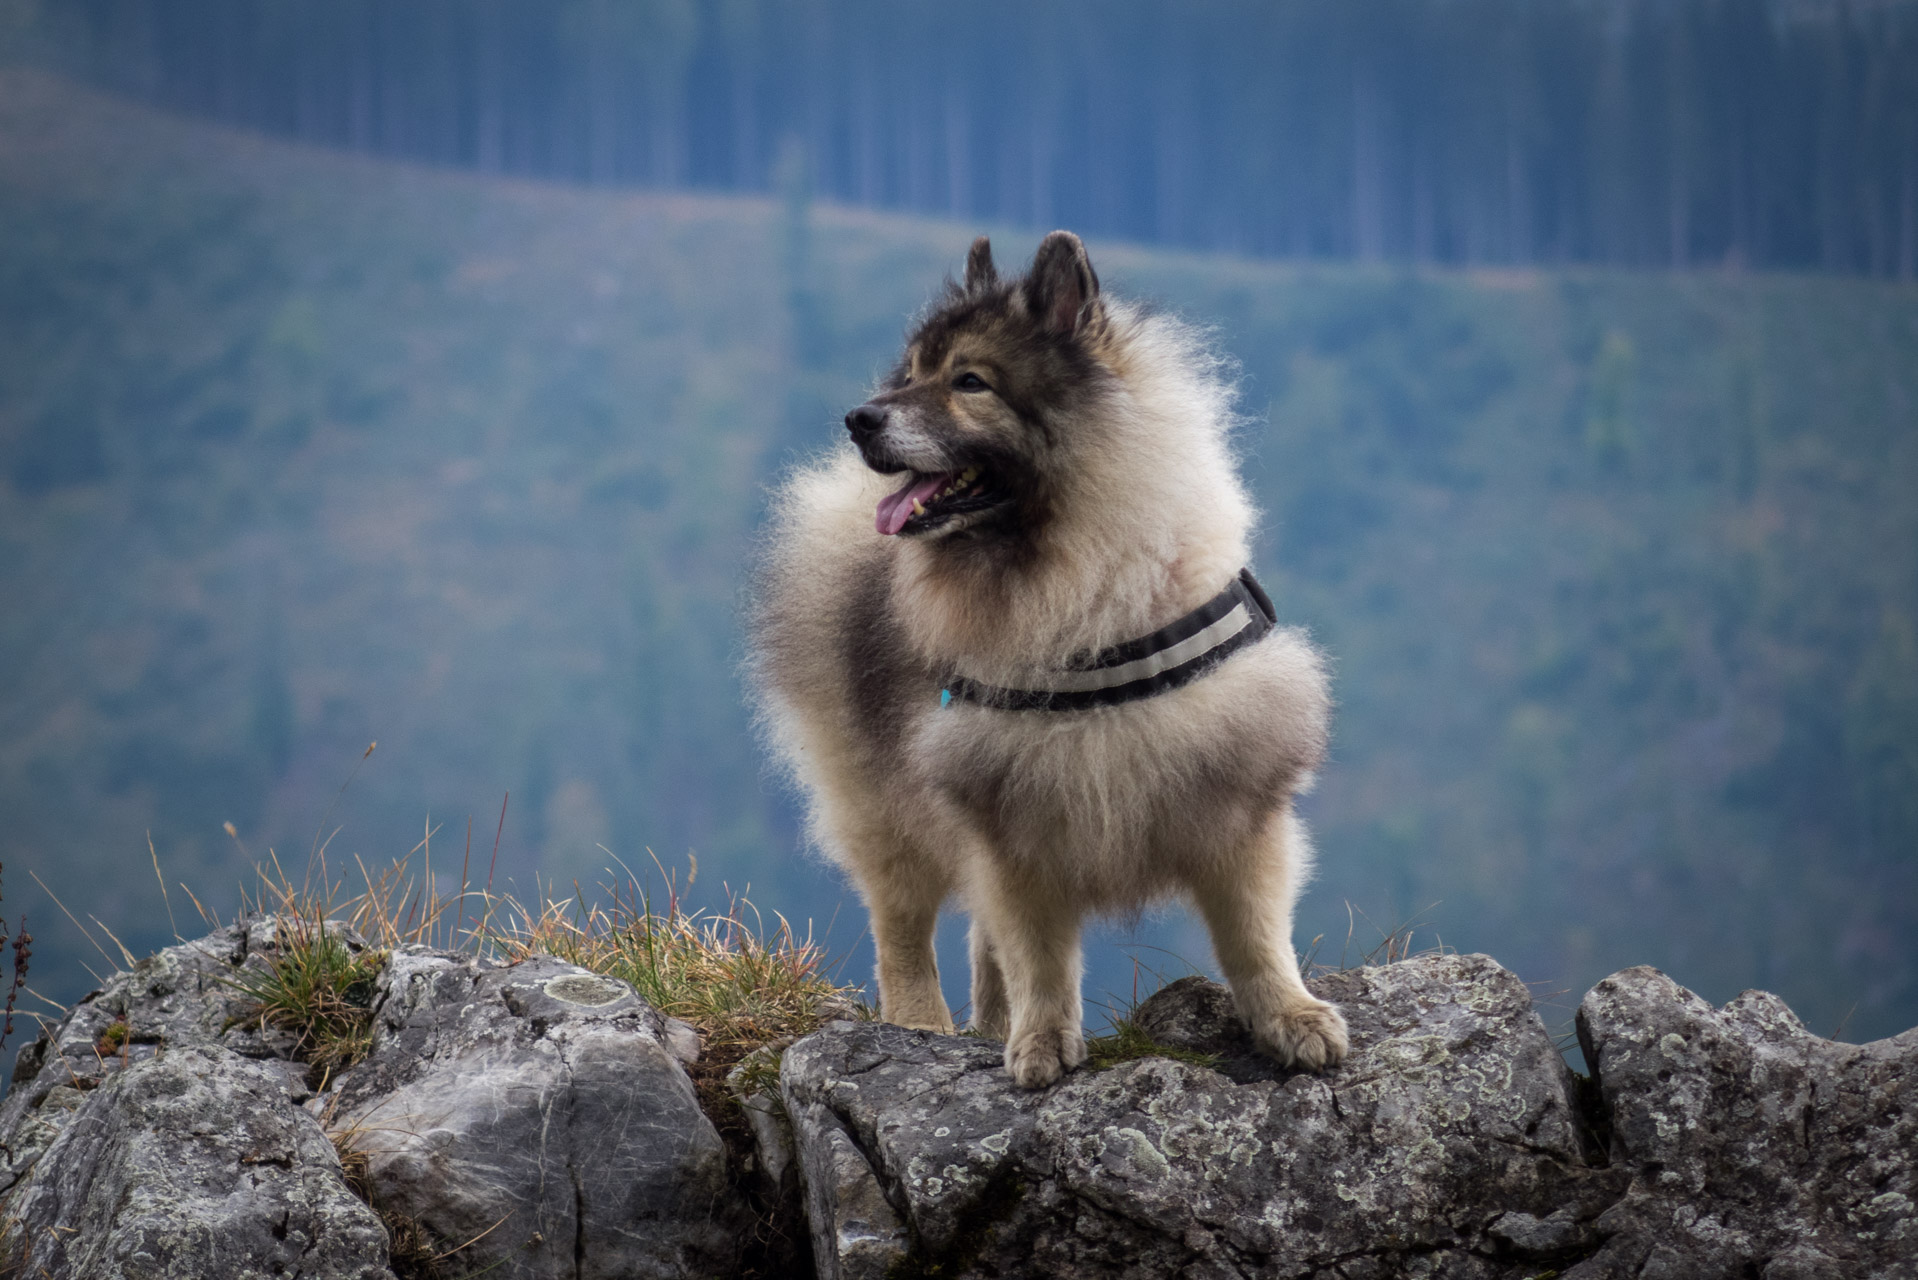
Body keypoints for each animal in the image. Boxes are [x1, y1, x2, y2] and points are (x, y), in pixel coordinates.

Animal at [748, 233, 1350, 1090]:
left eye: (968, 381)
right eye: (910, 376)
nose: (859, 417)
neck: (1087, 601)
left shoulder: (1239, 803)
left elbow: (1256, 937)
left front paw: (1291, 1018)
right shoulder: (1010, 820)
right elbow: (1038, 952)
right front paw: (1039, 1041)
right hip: (881, 806)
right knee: (904, 929)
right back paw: (921, 1025)